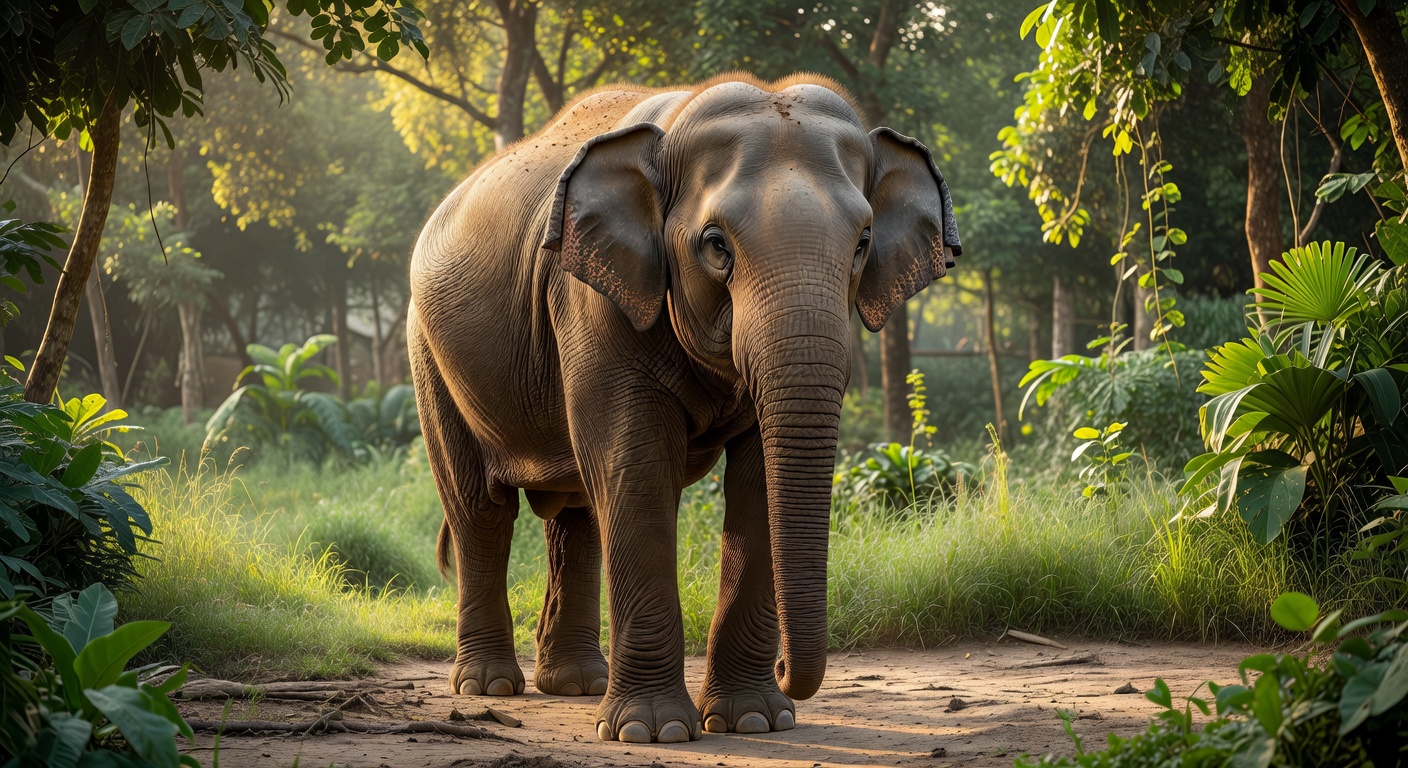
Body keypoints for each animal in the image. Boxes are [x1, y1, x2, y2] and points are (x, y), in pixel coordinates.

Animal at [407, 73, 960, 745]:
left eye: (863, 243)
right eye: (715, 246)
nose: (786, 669)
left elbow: (755, 481)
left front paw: (755, 721)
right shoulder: (593, 302)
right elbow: (637, 470)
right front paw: (654, 731)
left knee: (577, 511)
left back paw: (576, 684)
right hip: (428, 351)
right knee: (480, 508)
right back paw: (489, 686)